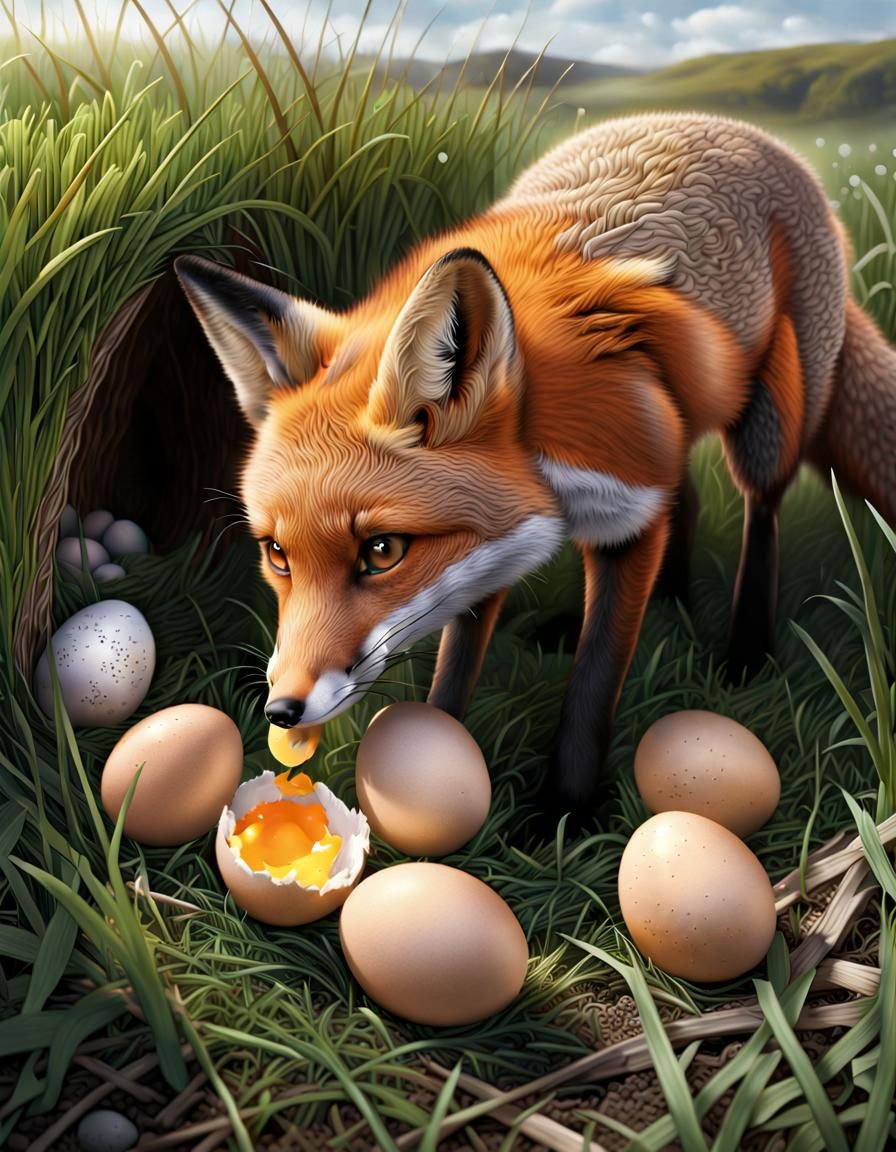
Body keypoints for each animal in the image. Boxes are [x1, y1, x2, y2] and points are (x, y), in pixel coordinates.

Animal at [175, 111, 896, 822]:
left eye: (382, 552)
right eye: (277, 554)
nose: (282, 709)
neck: (543, 458)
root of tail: (742, 130)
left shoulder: (628, 513)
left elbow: (596, 678)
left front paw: (562, 810)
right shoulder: (493, 541)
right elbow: (460, 655)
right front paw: (443, 734)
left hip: (769, 419)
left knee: (761, 506)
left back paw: (746, 650)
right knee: (686, 497)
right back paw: (667, 602)